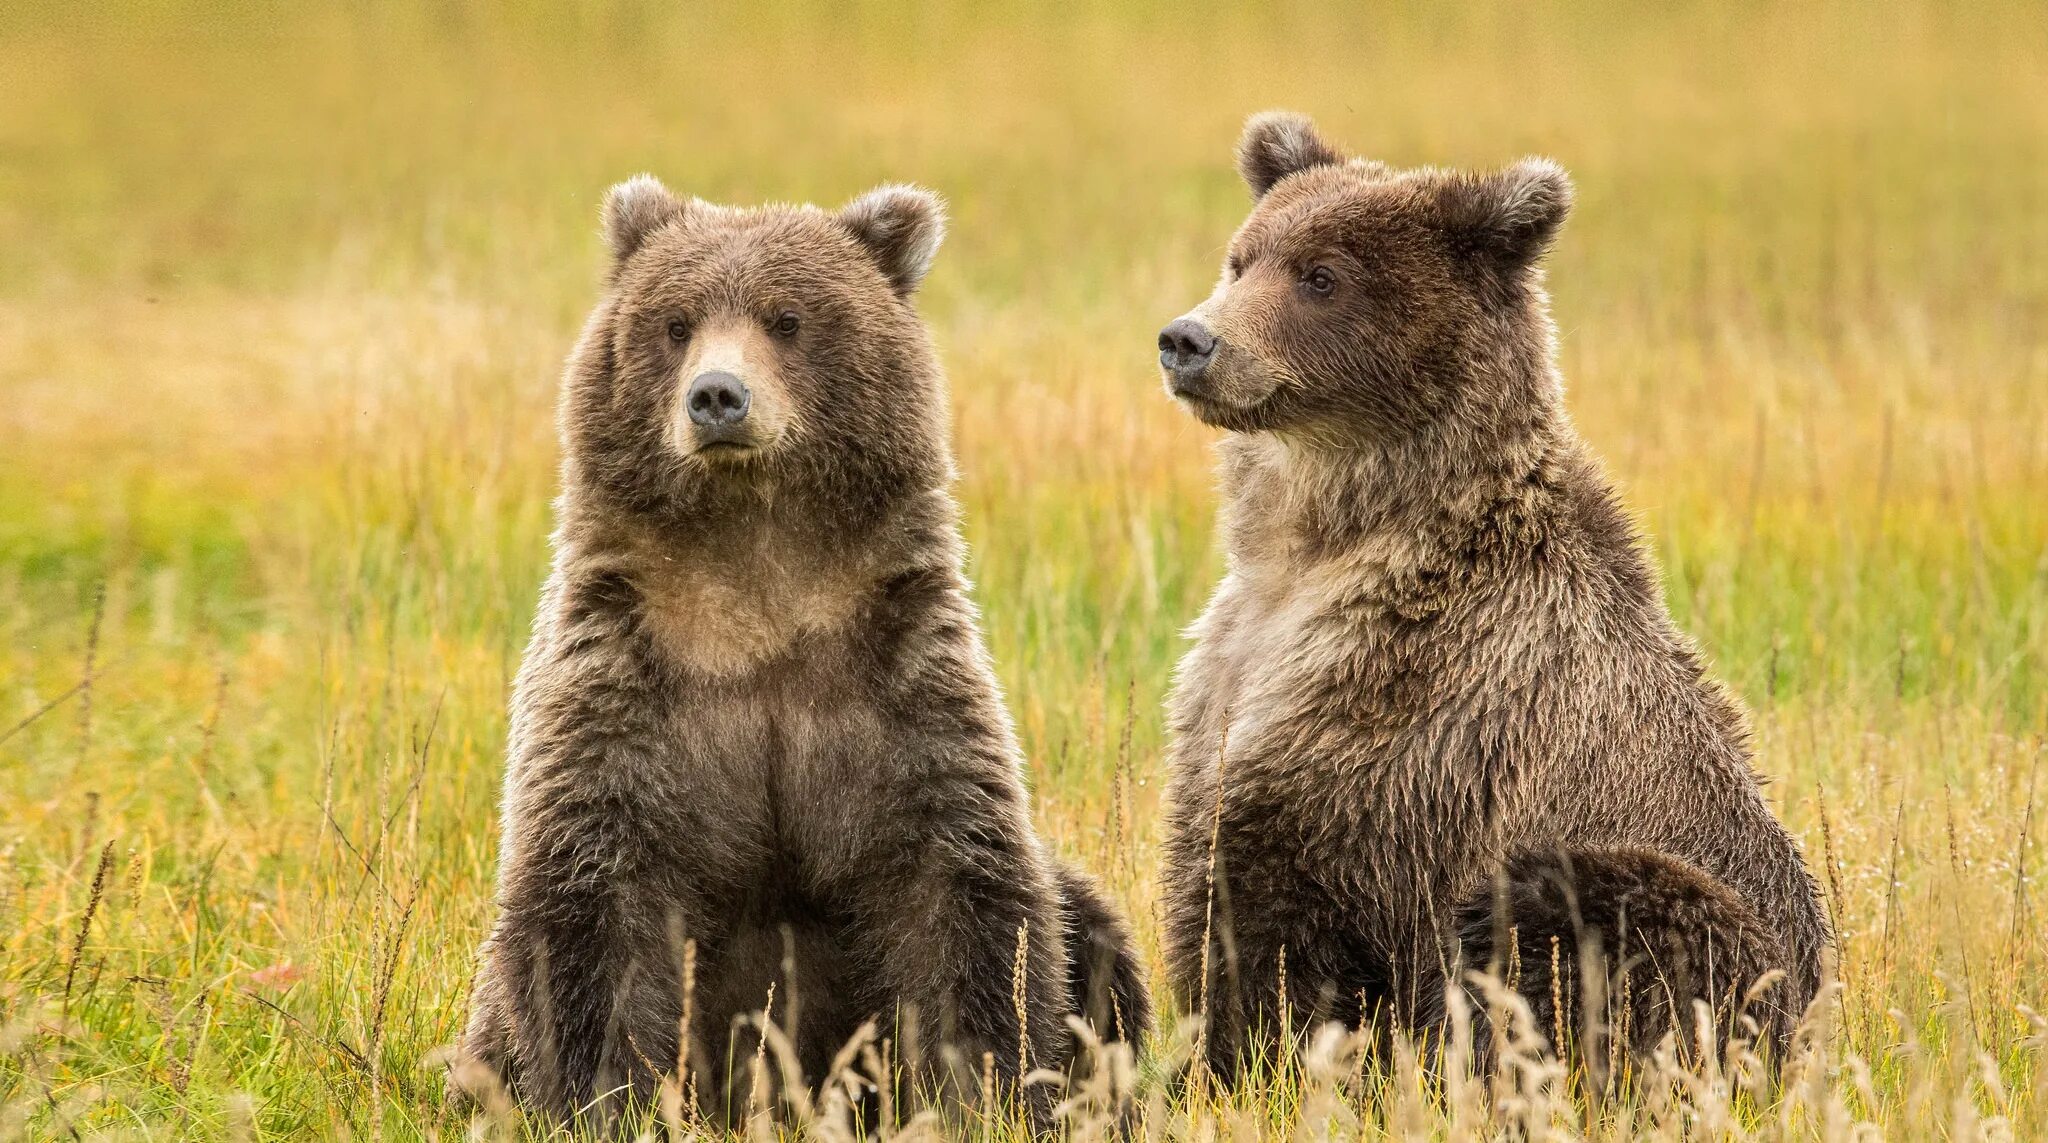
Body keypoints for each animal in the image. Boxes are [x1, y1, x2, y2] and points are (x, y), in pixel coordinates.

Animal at [454, 179, 1146, 1138]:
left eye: (787, 318)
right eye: (675, 321)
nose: (716, 396)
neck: (761, 581)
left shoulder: (895, 682)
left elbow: (962, 898)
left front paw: (979, 1093)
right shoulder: (625, 682)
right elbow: (595, 905)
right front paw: (608, 1100)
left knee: (1093, 926)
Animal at [1155, 114, 1826, 1081]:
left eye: (1322, 275)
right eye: (1242, 259)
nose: (1189, 340)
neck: (1316, 551)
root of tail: (1817, 1029)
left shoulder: (1409, 719)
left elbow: (1280, 912)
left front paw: (1246, 1060)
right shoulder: (1224, 676)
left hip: (1697, 920)